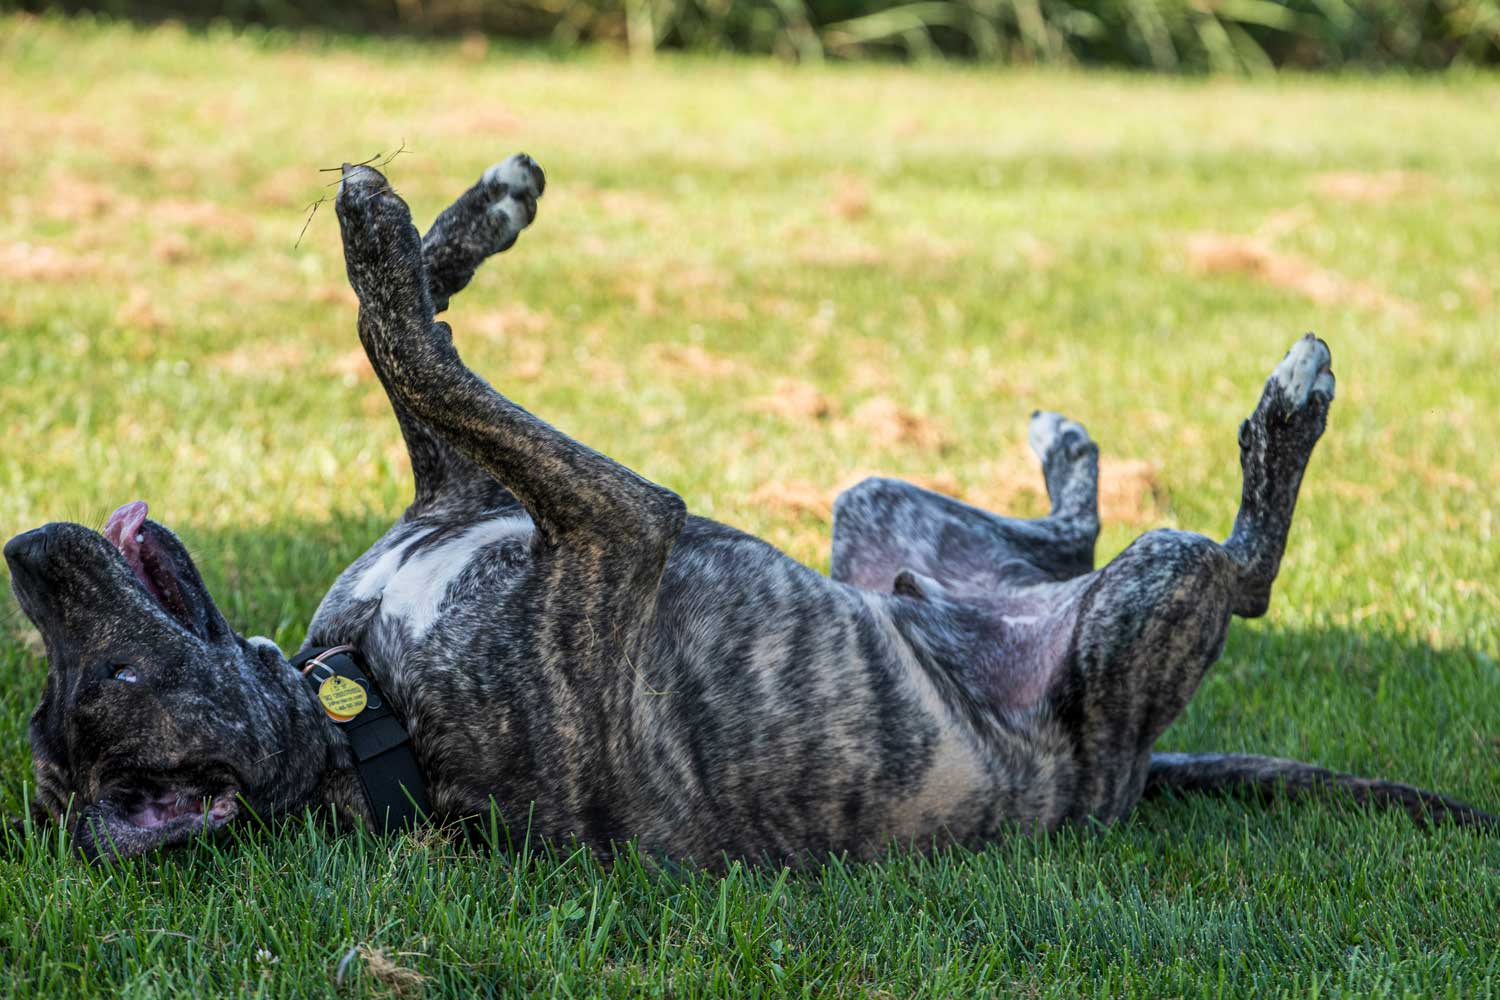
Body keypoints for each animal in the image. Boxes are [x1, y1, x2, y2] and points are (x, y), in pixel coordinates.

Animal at [5, 152, 1494, 863]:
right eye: (102, 686)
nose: (26, 551)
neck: (358, 704)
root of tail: (1130, 776)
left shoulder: (464, 491)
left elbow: (416, 334)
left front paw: (476, 211)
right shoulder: (623, 523)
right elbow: (409, 339)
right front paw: (378, 229)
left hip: (878, 512)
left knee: (1057, 533)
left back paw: (1064, 447)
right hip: (1146, 615)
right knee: (1242, 567)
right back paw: (1290, 401)